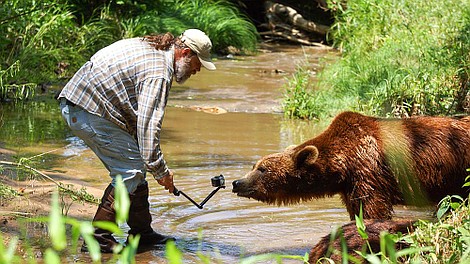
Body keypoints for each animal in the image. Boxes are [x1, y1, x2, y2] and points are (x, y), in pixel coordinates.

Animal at [231, 110, 470, 220]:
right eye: (255, 165)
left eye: (262, 169)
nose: (237, 182)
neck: (342, 165)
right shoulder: (349, 186)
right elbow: (357, 211)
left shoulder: (369, 171)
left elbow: (373, 210)